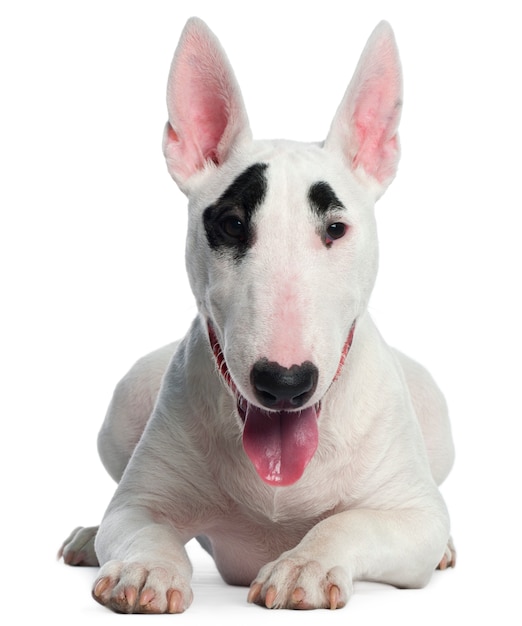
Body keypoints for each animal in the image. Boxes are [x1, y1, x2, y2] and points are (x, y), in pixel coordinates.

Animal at [59, 17, 452, 612]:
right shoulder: (139, 501)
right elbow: (137, 524)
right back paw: (86, 537)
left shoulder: (414, 518)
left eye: (335, 229)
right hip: (128, 399)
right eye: (231, 224)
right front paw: (148, 571)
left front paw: (303, 565)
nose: (284, 384)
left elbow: (351, 523)